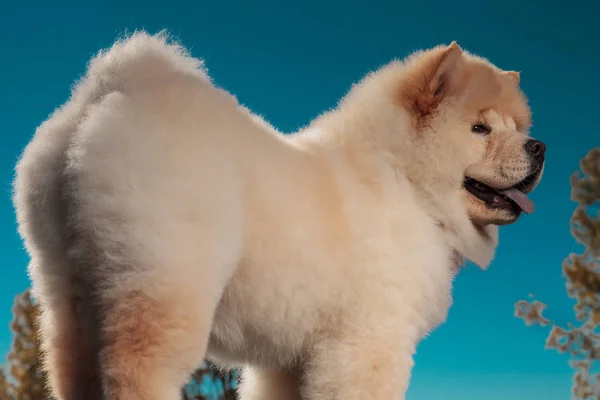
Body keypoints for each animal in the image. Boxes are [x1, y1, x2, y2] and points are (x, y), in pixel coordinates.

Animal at [14, 32, 544, 400]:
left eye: (518, 128)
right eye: (480, 129)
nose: (539, 147)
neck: (407, 181)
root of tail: (115, 88)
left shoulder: (290, 362)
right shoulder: (370, 341)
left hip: (65, 295)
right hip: (166, 287)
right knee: (138, 371)